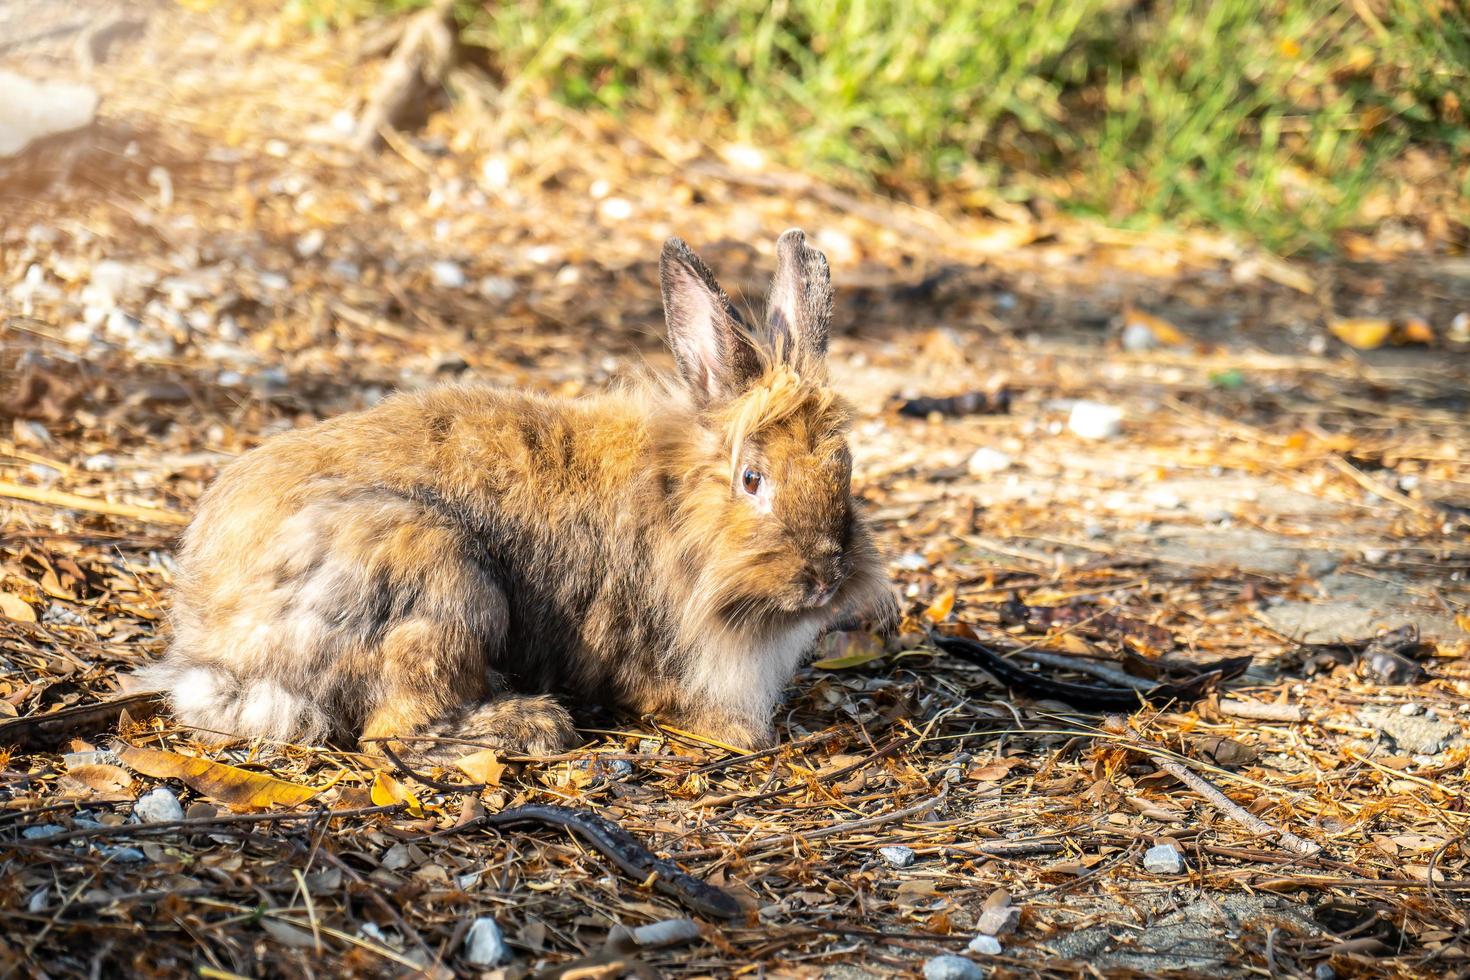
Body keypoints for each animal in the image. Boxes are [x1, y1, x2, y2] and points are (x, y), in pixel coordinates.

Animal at [135, 230, 893, 758]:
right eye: (752, 480)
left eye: (845, 469)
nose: (826, 577)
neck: (677, 503)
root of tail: (212, 643)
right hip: (442, 580)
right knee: (393, 732)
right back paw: (534, 724)